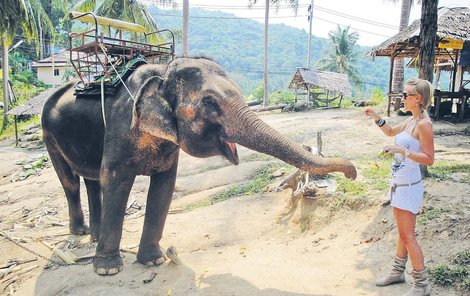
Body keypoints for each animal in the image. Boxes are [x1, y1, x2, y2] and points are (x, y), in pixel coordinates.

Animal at [42, 56, 356, 276]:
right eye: (209, 103)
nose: (352, 173)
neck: (163, 70)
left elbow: (164, 187)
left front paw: (154, 261)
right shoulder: (120, 127)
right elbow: (116, 181)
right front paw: (108, 269)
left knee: (91, 179)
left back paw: (92, 235)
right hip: (48, 132)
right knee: (71, 181)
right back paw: (81, 233)